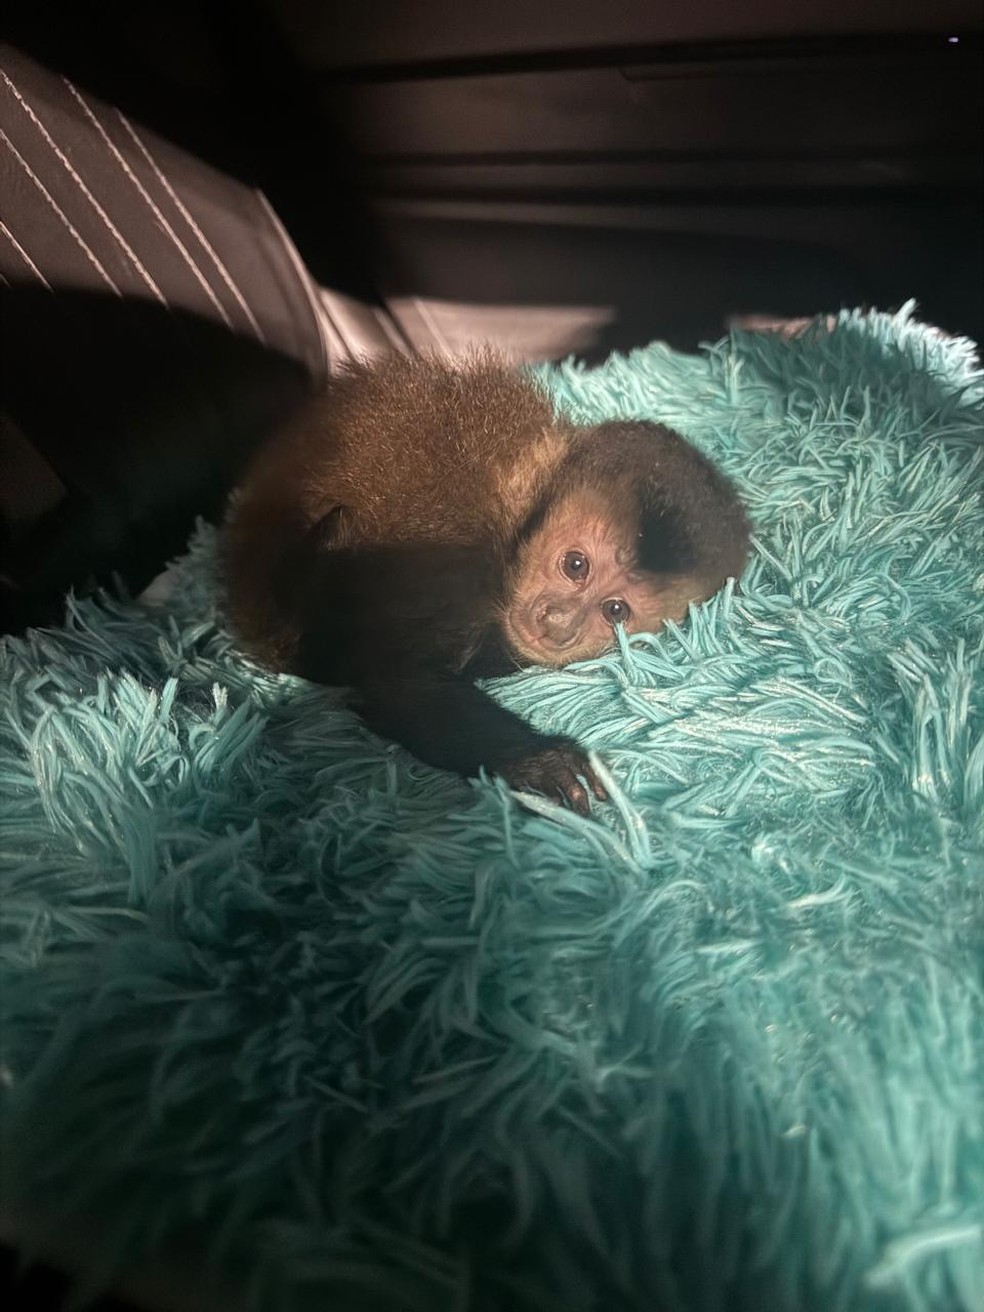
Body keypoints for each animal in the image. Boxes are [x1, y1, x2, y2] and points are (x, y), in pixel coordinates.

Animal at [224, 352, 749, 814]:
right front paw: (538, 761)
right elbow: (396, 681)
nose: (558, 623)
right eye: (575, 565)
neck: (513, 514)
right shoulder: (454, 575)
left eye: (615, 611)